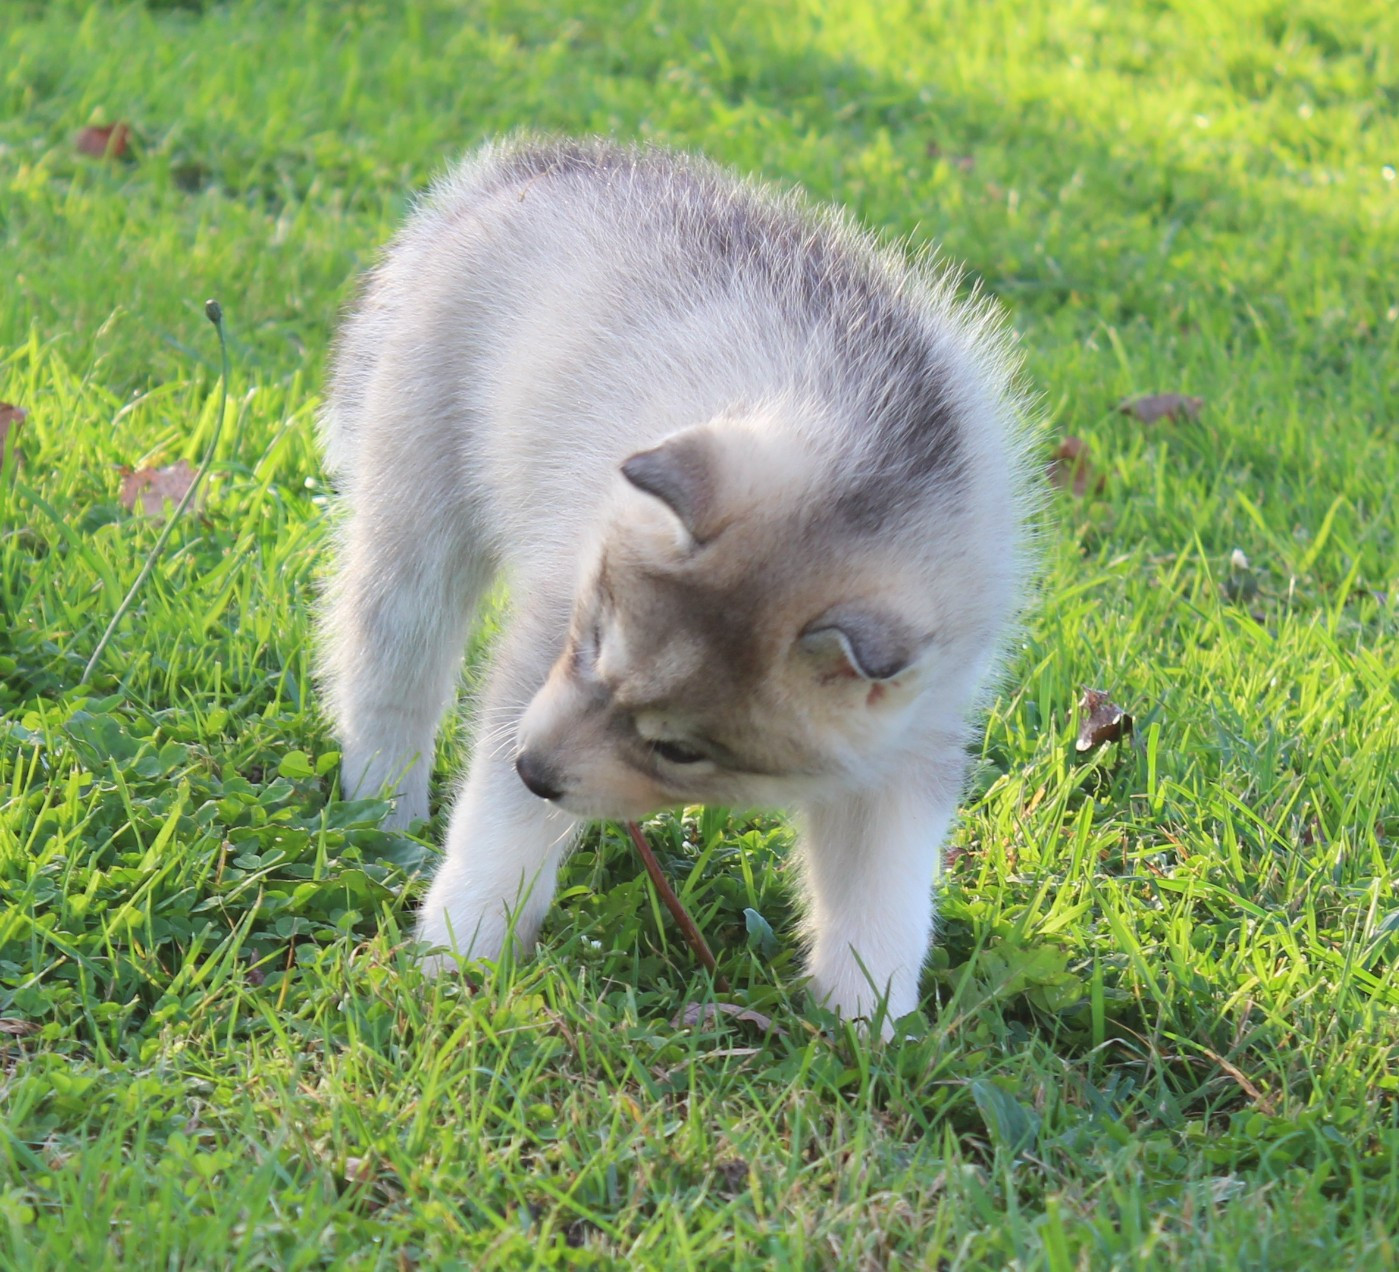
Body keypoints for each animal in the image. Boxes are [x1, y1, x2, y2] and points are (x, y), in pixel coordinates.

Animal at [318, 137, 1036, 1032]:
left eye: (682, 751)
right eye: (590, 643)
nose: (534, 770)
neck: (880, 461)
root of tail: (540, 164)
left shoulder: (913, 740)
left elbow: (883, 889)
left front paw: (868, 1023)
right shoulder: (542, 647)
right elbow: (499, 826)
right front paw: (461, 949)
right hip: (418, 495)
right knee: (391, 669)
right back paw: (382, 809)